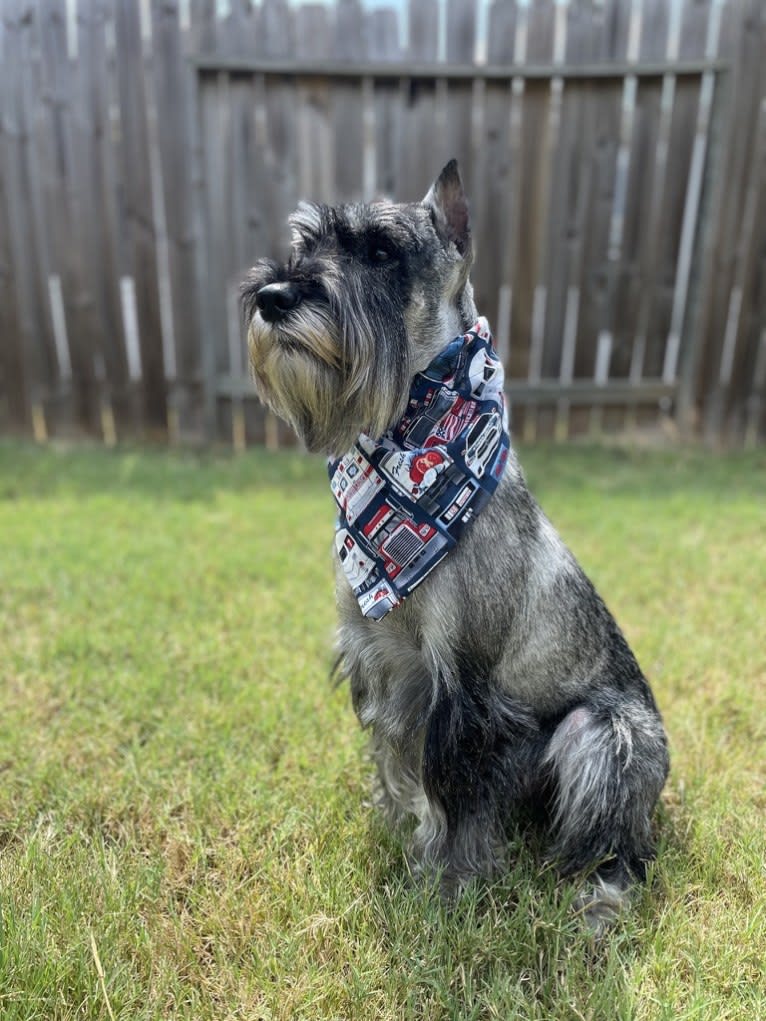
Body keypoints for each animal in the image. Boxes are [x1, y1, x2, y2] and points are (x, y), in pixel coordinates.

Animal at [243, 161, 669, 935]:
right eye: (305, 242)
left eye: (381, 250)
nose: (273, 296)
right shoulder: (381, 659)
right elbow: (396, 758)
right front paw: (394, 822)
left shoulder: (462, 689)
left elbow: (454, 794)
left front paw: (446, 882)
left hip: (604, 736)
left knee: (614, 844)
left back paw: (600, 900)